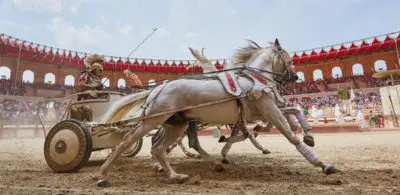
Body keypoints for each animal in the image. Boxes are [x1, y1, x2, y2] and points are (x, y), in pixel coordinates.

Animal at [96, 39, 338, 186]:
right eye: (288, 58)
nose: (294, 77)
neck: (254, 79)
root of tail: (158, 88)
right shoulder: (269, 111)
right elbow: (291, 136)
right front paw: (322, 164)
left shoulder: (260, 113)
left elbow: (294, 111)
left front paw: (308, 134)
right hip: (153, 121)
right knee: (128, 140)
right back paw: (103, 173)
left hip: (177, 124)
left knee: (159, 147)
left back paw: (175, 174)